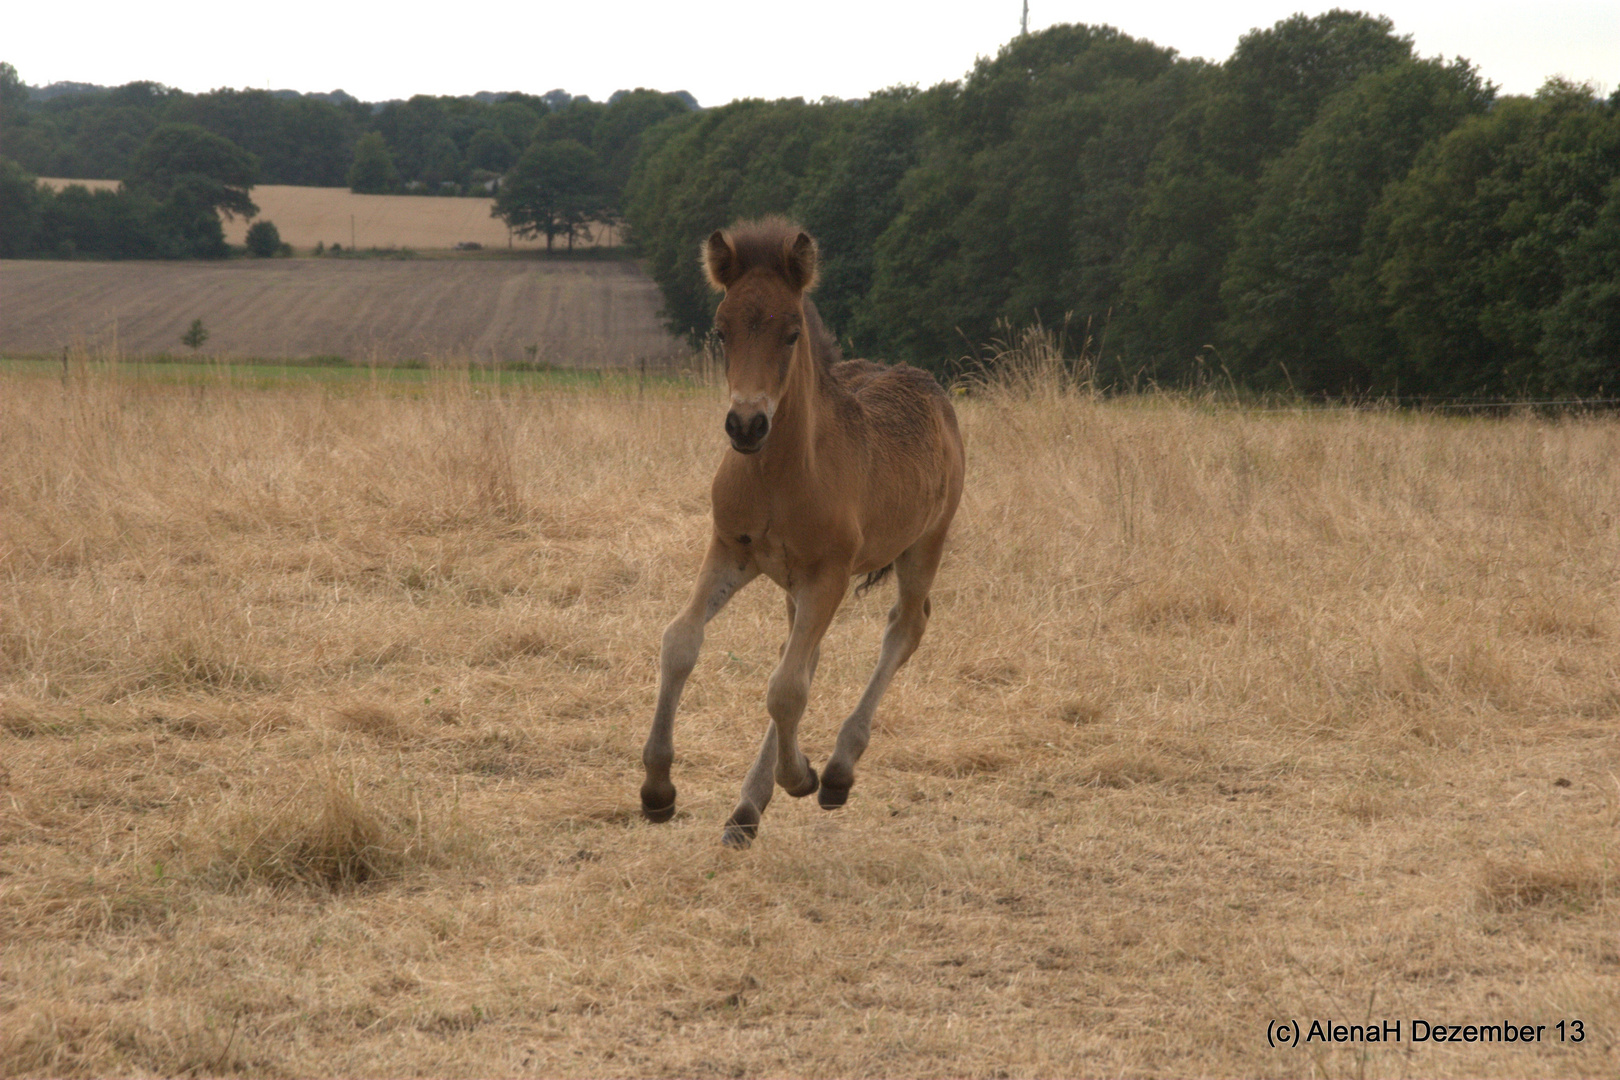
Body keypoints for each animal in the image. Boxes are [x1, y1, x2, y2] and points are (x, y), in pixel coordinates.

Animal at [635, 216, 965, 841]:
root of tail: (932, 389)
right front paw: (658, 788)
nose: (745, 425)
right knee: (804, 651)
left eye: (791, 333)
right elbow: (680, 641)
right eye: (721, 332)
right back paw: (748, 808)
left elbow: (786, 689)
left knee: (905, 627)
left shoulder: (828, 572)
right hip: (796, 584)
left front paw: (801, 778)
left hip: (923, 546)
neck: (780, 476)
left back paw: (835, 771)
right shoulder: (730, 550)